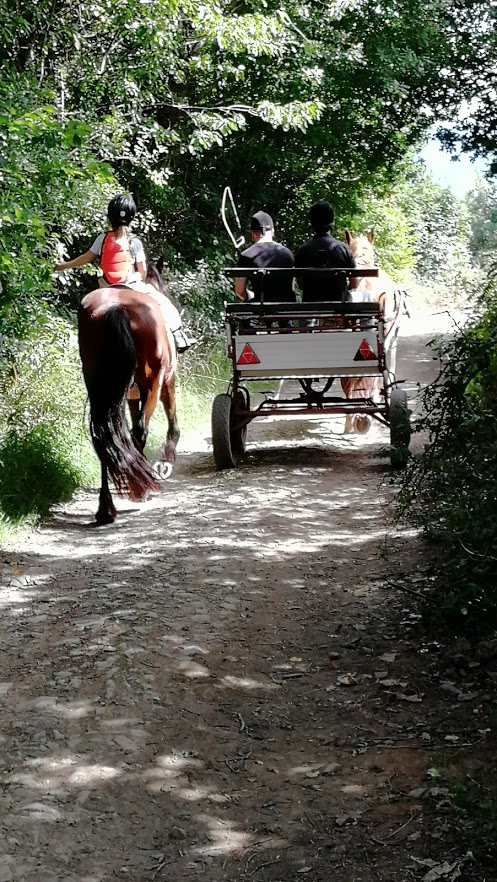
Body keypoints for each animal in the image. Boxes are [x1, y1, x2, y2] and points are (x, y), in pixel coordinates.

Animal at [76, 262, 179, 524]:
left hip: (99, 387)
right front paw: (167, 459)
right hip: (152, 382)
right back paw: (140, 489)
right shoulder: (167, 379)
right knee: (139, 430)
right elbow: (171, 420)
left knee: (102, 437)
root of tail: (116, 308)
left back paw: (106, 508)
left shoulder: (127, 394)